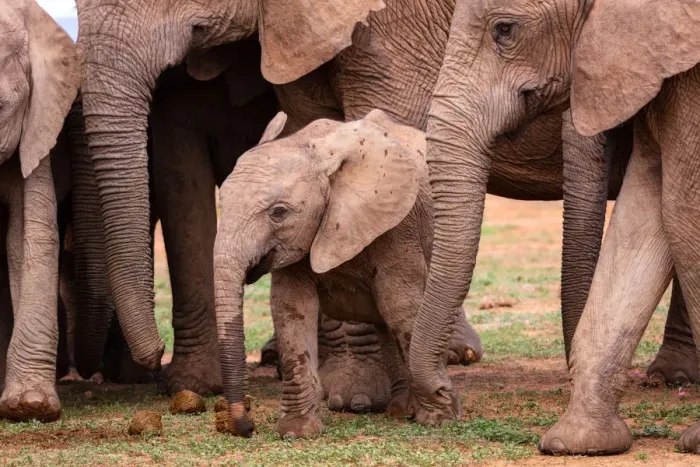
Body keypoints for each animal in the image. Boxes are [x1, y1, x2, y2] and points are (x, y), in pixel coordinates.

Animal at [214, 109, 483, 437]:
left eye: (279, 212)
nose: (246, 426)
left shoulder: (398, 225)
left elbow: (401, 306)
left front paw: (439, 419)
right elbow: (291, 309)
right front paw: (297, 432)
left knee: (391, 312)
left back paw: (404, 410)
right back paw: (400, 409)